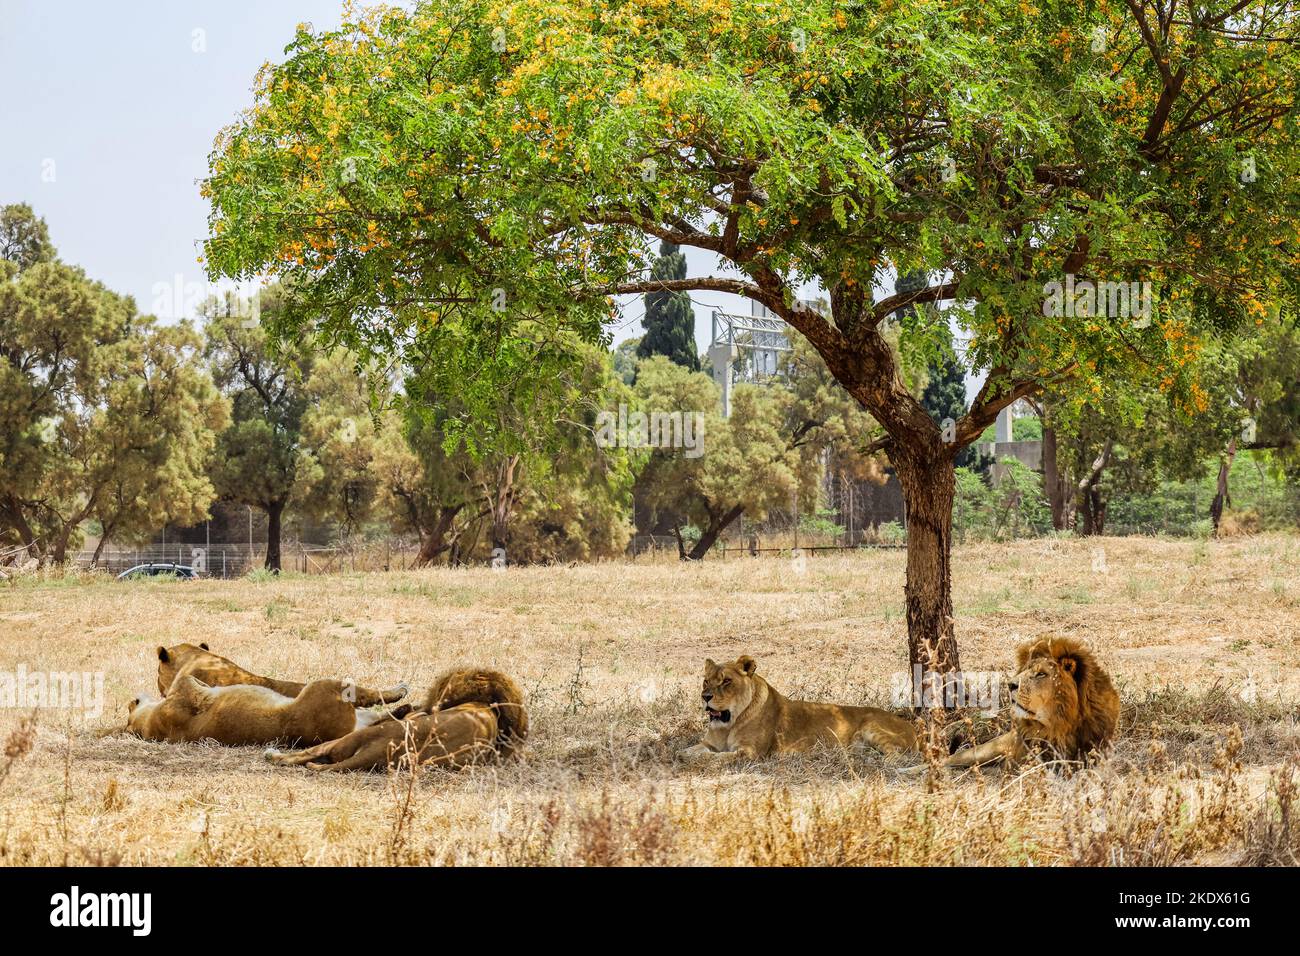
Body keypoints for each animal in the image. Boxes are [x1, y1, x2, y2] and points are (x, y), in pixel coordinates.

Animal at [127, 675, 393, 747]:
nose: (132, 699)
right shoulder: (183, 691)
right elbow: (185, 678)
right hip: (322, 686)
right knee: (369, 695)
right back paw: (398, 690)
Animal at [678, 656, 917, 764]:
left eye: (727, 681)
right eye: (706, 681)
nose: (705, 697)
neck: (728, 724)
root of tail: (915, 728)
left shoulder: (750, 753)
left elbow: (716, 757)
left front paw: (696, 758)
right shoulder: (708, 743)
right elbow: (691, 750)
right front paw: (683, 753)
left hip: (872, 726)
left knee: (897, 756)